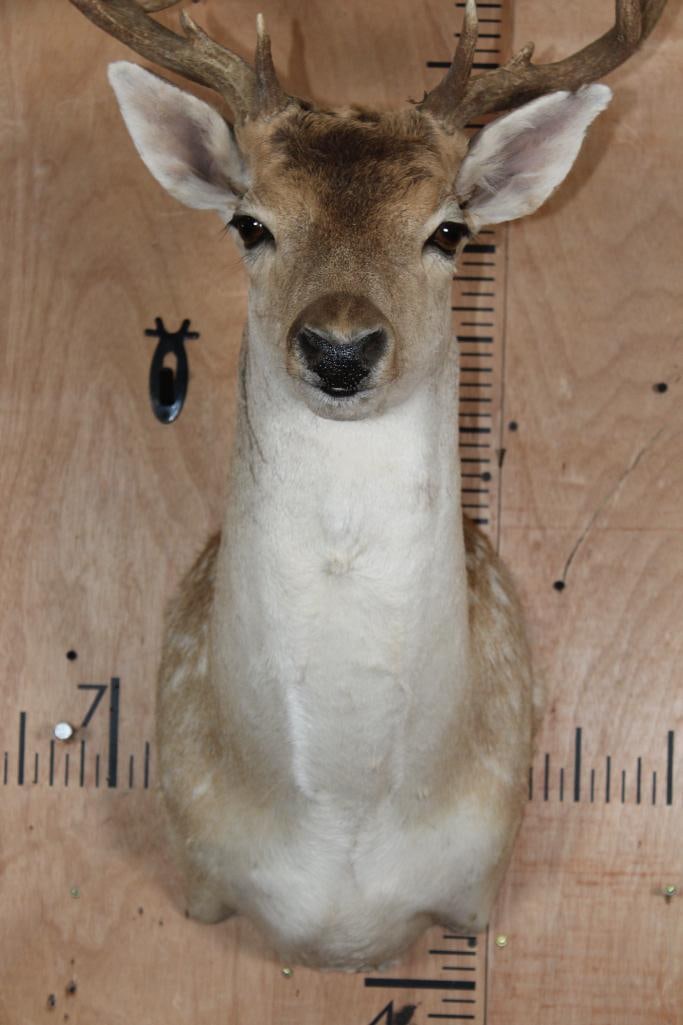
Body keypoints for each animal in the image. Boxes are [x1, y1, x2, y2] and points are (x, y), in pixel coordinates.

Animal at [69, 0, 666, 972]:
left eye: (449, 230)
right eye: (249, 223)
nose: (340, 348)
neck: (342, 813)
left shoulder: (478, 883)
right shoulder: (198, 874)